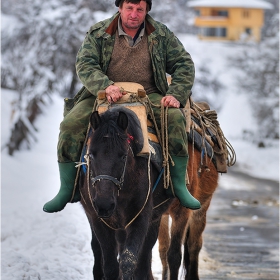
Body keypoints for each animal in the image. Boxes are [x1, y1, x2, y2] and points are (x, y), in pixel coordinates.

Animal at [77, 107, 173, 280]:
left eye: (123, 156)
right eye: (91, 154)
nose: (104, 204)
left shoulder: (141, 218)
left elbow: (129, 261)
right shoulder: (97, 220)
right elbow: (110, 266)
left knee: (144, 257)